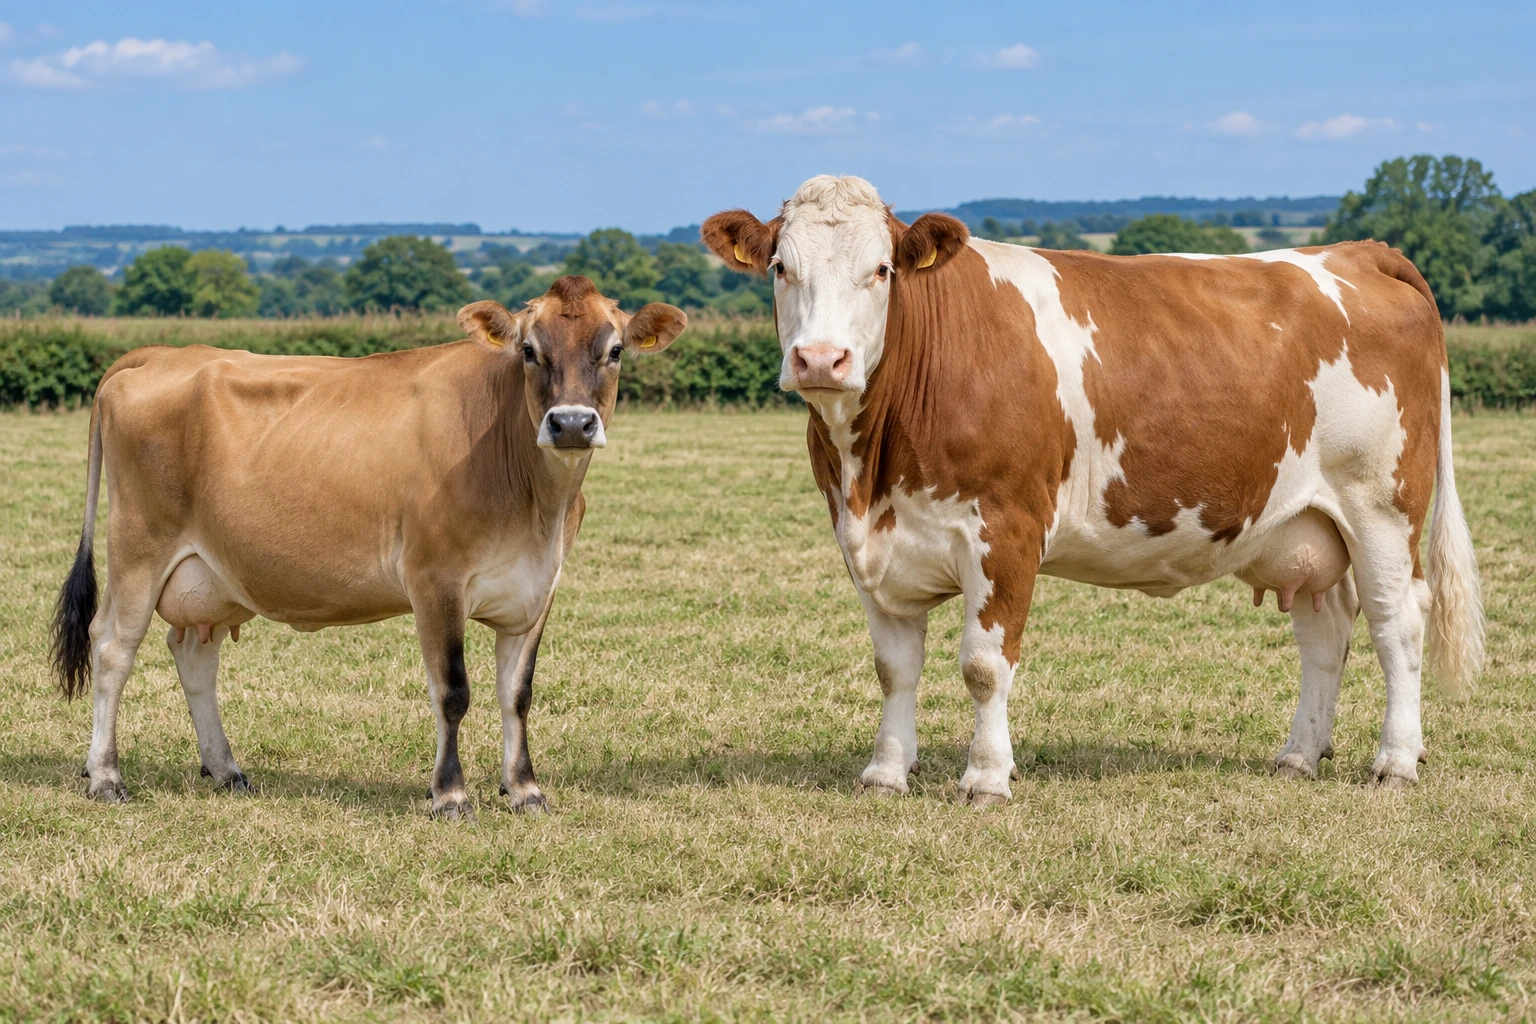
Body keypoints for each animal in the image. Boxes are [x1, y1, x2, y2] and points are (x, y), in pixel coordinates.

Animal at [49, 275, 686, 817]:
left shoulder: (536, 589)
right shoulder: (434, 580)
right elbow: (453, 691)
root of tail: (162, 353)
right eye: (529, 350)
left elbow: (518, 694)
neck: (536, 508)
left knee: (194, 653)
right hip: (138, 546)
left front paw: (525, 789)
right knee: (113, 646)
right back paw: (106, 776)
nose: (571, 423)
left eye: (615, 351)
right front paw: (450, 795)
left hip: (208, 572)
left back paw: (226, 769)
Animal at [702, 175, 1484, 807]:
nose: (820, 359)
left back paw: (1395, 762)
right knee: (1327, 630)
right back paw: (1298, 756)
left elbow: (984, 665)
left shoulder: (1006, 531)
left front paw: (987, 778)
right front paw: (886, 775)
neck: (874, 475)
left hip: (1381, 505)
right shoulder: (870, 545)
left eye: (882, 270)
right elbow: (894, 670)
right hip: (1308, 525)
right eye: (780, 267)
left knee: (1397, 622)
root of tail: (1357, 252)